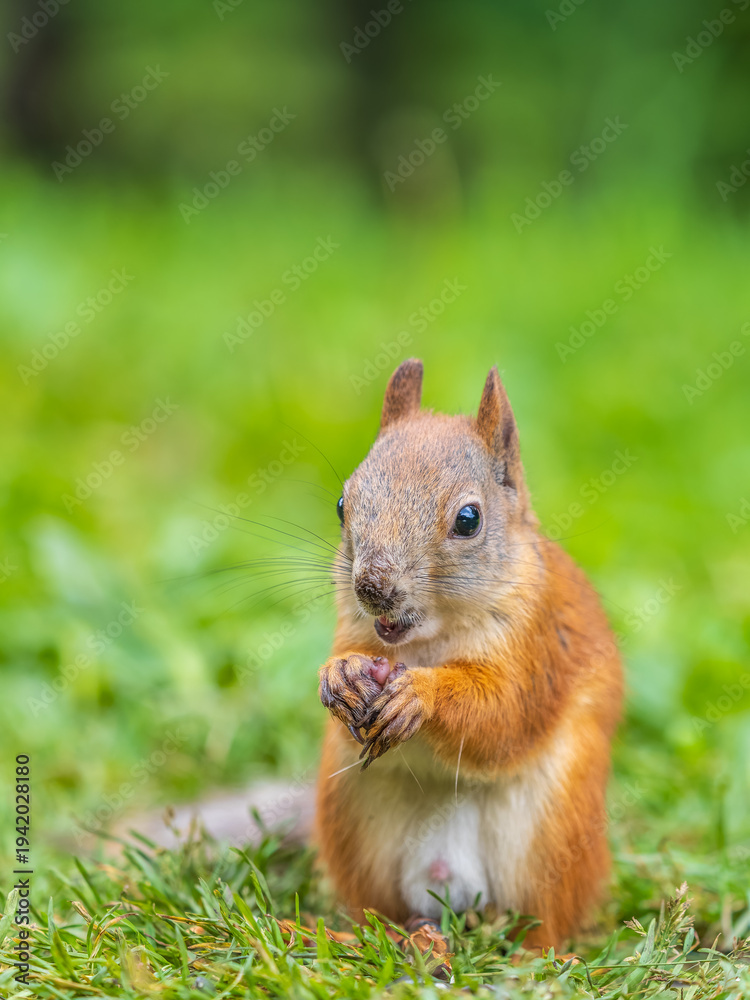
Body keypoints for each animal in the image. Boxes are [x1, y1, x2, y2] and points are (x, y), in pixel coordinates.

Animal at [316, 359, 623, 950]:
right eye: (343, 504)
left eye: (468, 519)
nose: (372, 587)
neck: (428, 640)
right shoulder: (354, 627)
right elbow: (345, 661)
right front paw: (338, 674)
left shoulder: (536, 644)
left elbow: (503, 716)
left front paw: (420, 693)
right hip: (351, 817)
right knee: (376, 909)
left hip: (554, 833)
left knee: (546, 923)